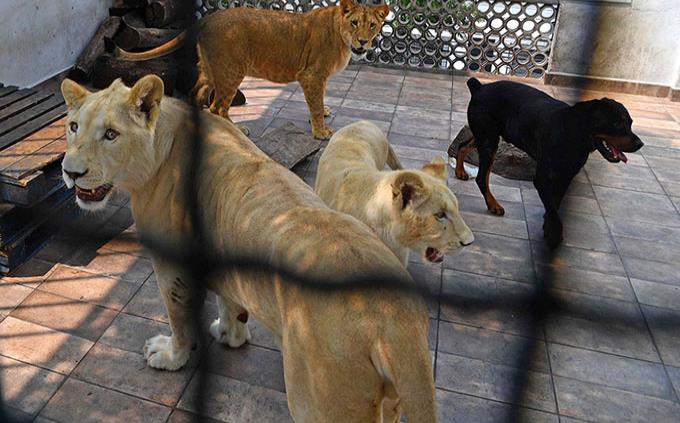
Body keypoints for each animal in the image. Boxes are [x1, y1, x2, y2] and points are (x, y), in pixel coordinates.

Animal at [60, 76, 436, 423]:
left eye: (111, 134)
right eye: (73, 126)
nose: (69, 172)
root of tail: (393, 318)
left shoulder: (172, 266)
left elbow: (179, 319)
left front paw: (171, 356)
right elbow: (229, 301)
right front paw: (231, 334)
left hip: (321, 404)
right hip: (390, 402)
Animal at [112, 0, 389, 140]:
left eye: (372, 25)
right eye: (354, 23)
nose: (363, 42)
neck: (341, 35)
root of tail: (207, 18)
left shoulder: (318, 78)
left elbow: (319, 100)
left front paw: (324, 113)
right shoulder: (311, 75)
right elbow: (315, 103)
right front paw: (321, 131)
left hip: (211, 70)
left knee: (197, 93)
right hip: (231, 71)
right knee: (218, 107)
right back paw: (238, 130)